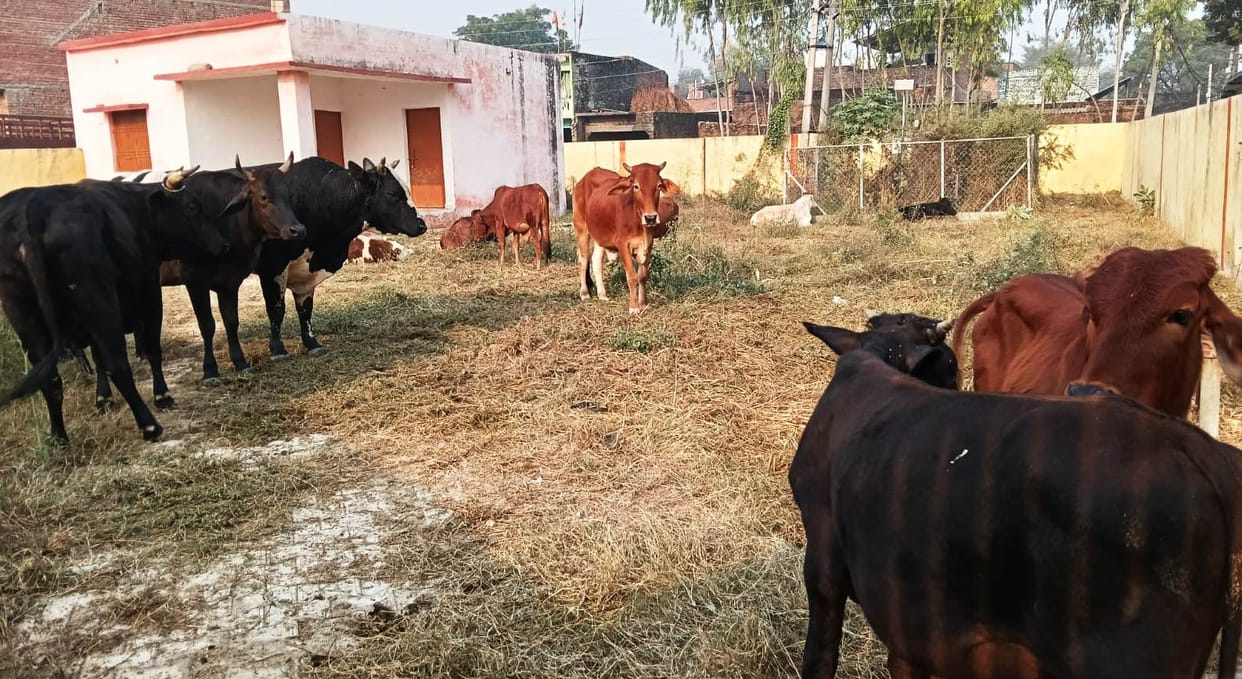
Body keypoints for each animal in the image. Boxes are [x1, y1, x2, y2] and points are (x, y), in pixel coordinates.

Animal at [0, 167, 235, 443]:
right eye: (192, 207)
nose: (224, 244)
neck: (137, 209)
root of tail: (31, 211)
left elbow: (98, 357)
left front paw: (103, 397)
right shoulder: (149, 292)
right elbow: (151, 349)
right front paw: (162, 396)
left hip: (23, 312)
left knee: (51, 379)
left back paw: (59, 435)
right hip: (98, 299)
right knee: (118, 365)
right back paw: (149, 426)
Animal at [161, 154, 306, 384]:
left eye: (289, 196)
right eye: (263, 197)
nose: (298, 230)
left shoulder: (229, 283)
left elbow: (231, 322)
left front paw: (240, 362)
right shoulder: (194, 281)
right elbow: (207, 325)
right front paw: (210, 370)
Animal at [249, 156, 427, 362]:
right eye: (392, 194)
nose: (422, 225)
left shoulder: (306, 274)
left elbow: (305, 309)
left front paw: (312, 343)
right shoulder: (273, 267)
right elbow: (276, 309)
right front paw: (278, 350)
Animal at [573, 163, 681, 314]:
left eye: (659, 185)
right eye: (636, 186)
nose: (651, 218)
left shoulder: (649, 244)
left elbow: (642, 276)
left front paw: (643, 303)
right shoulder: (623, 245)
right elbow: (632, 276)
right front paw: (634, 307)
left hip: (599, 235)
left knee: (595, 260)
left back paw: (602, 294)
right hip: (581, 228)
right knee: (583, 260)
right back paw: (584, 293)